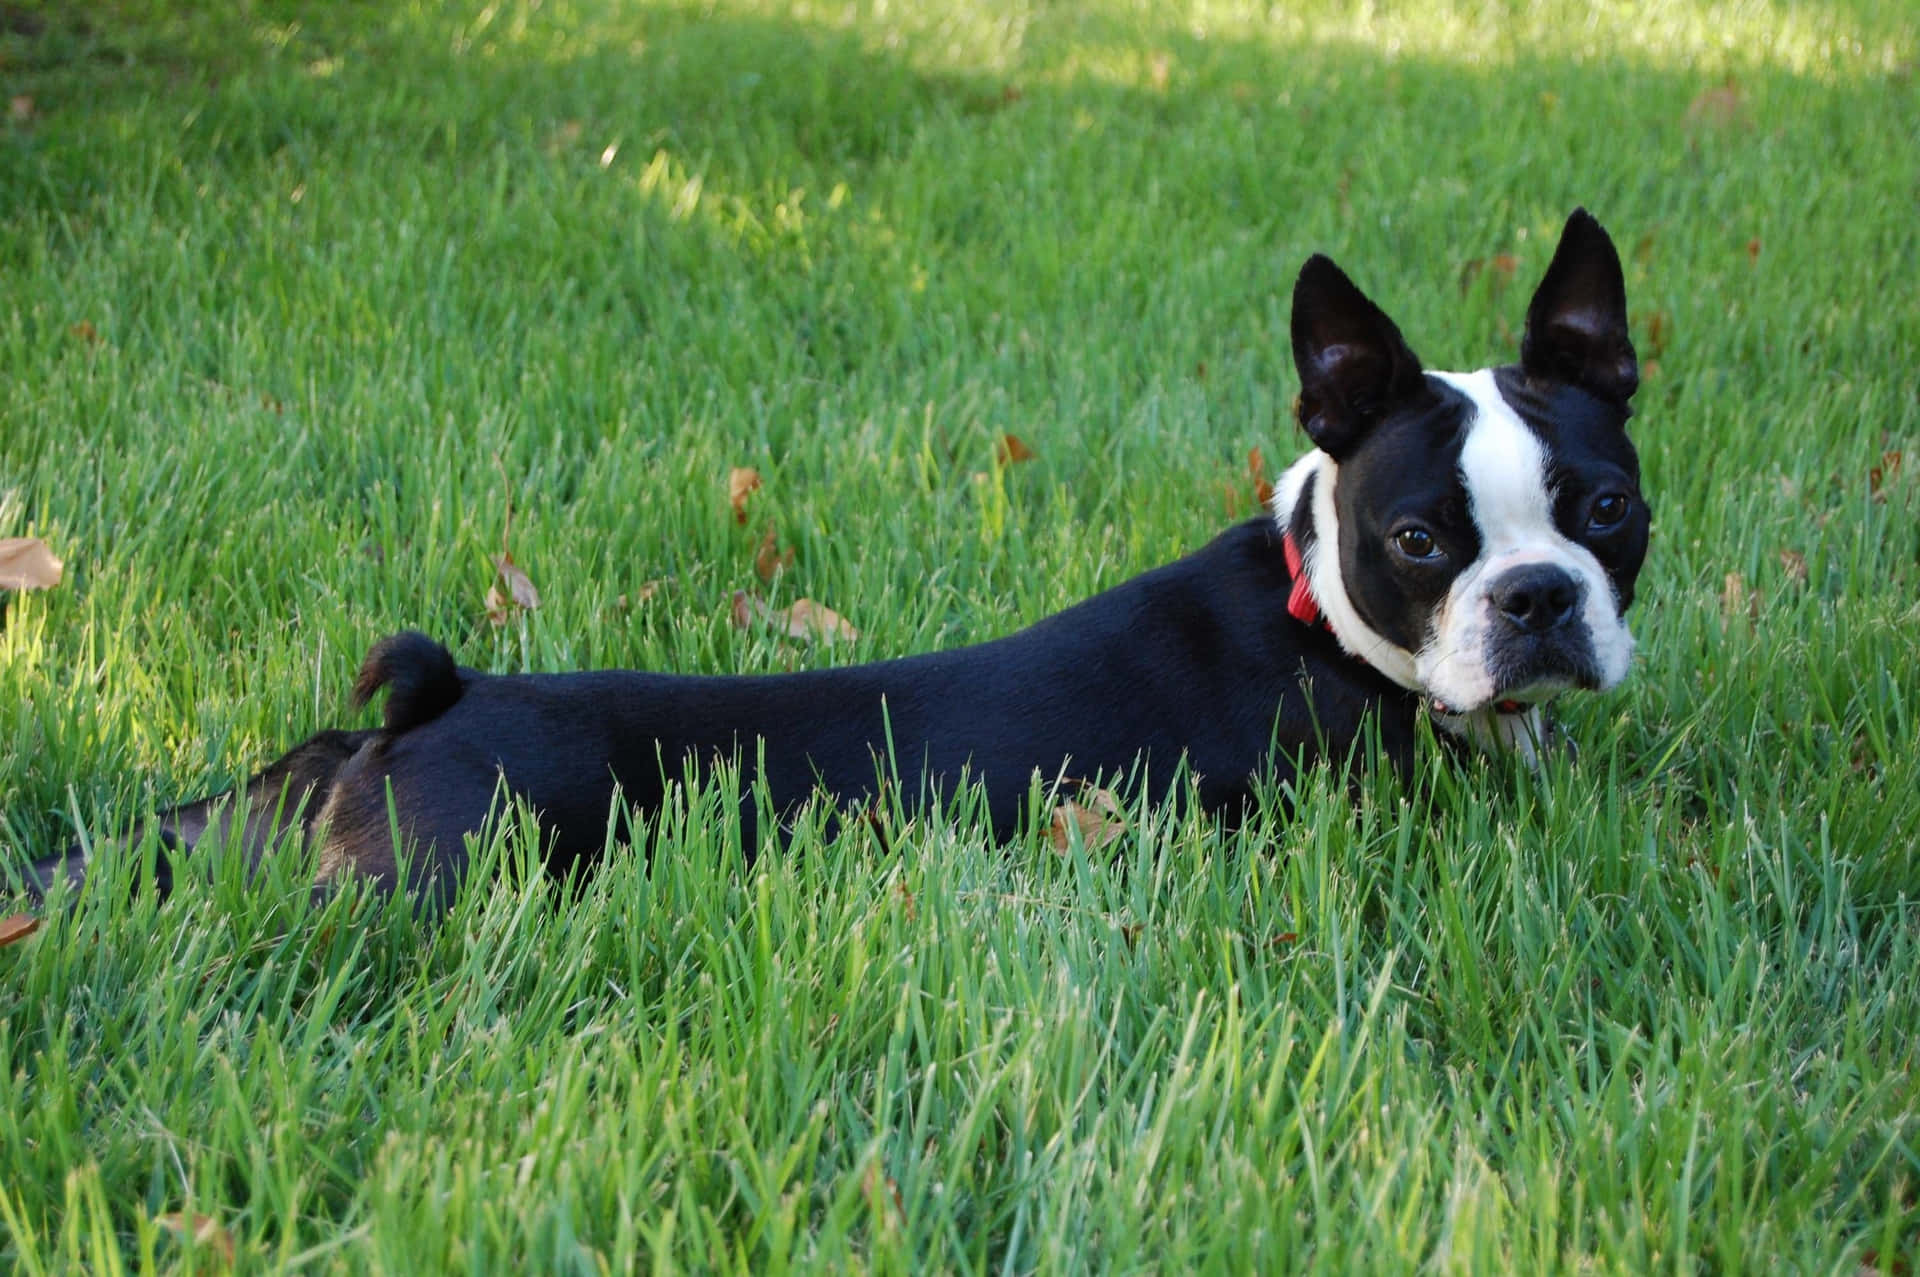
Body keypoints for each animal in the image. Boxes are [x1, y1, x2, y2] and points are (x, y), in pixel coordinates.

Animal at [15, 209, 1643, 906]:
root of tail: (436, 698)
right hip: (445, 874)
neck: (1322, 618)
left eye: (1609, 510)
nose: (1540, 599)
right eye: (1420, 539)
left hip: (252, 819)